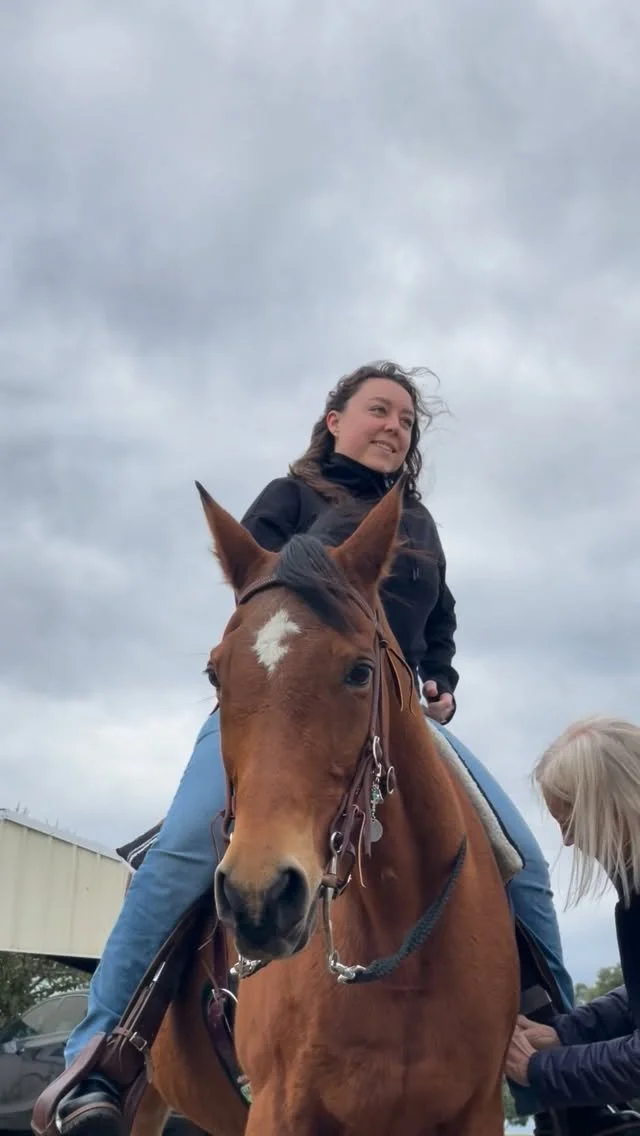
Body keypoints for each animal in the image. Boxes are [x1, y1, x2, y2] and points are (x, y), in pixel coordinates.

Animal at [132, 479, 519, 1136]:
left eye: (360, 671)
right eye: (215, 675)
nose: (259, 897)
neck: (397, 953)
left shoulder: (480, 1110)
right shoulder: (277, 1110)